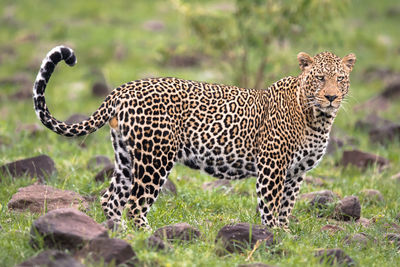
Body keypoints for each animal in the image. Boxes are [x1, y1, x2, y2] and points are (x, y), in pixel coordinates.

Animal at [32, 46, 356, 230]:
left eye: (340, 79)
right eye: (319, 78)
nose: (331, 97)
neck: (318, 118)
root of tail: (123, 88)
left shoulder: (296, 173)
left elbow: (286, 207)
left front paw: (286, 236)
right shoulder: (272, 167)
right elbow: (270, 206)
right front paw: (273, 237)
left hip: (126, 157)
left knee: (110, 198)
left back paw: (117, 233)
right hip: (155, 158)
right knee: (135, 203)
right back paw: (149, 237)